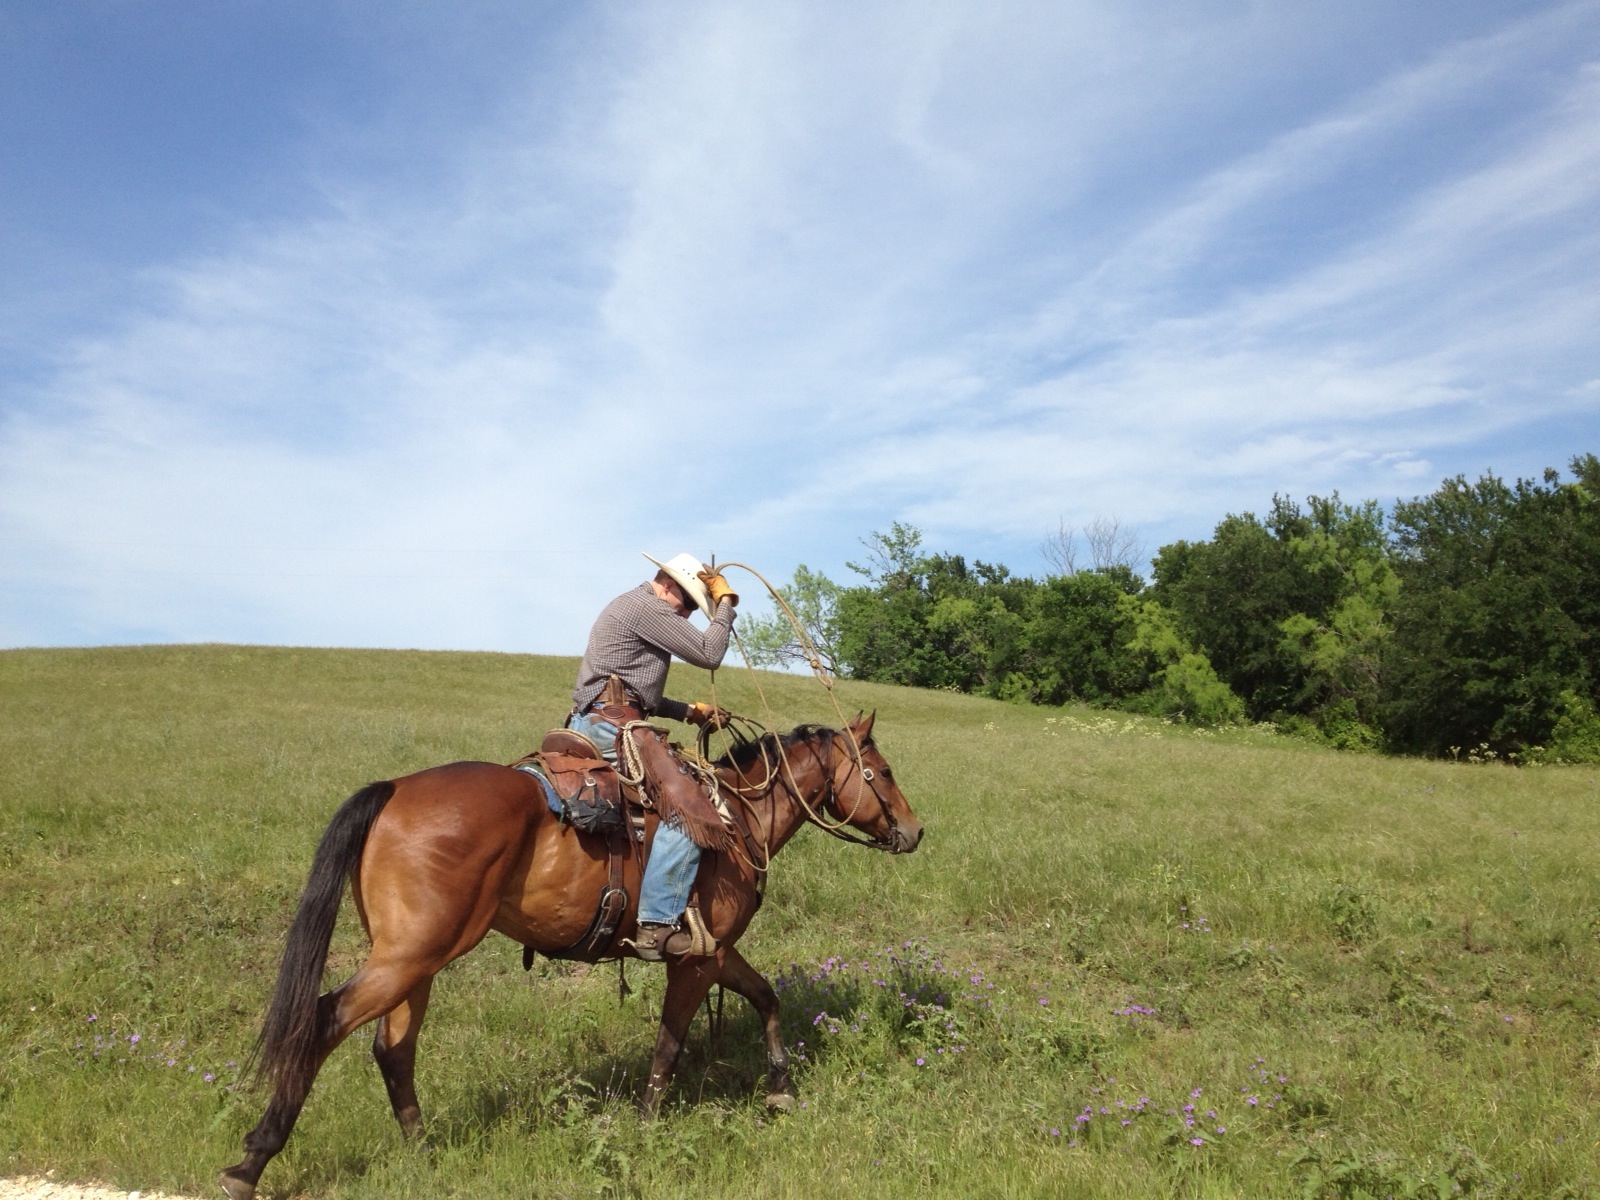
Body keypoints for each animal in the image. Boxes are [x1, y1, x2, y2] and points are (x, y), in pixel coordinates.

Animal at [225, 713, 928, 1200]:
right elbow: (670, 1044)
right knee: (323, 1022)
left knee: (392, 1049)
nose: (915, 831)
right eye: (885, 771)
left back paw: (423, 1153)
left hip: (415, 960)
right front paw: (647, 1128)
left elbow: (765, 997)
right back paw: (251, 1161)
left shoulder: (716, 949)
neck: (737, 819)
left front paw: (779, 1089)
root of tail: (393, 790)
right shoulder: (694, 960)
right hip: (407, 957)